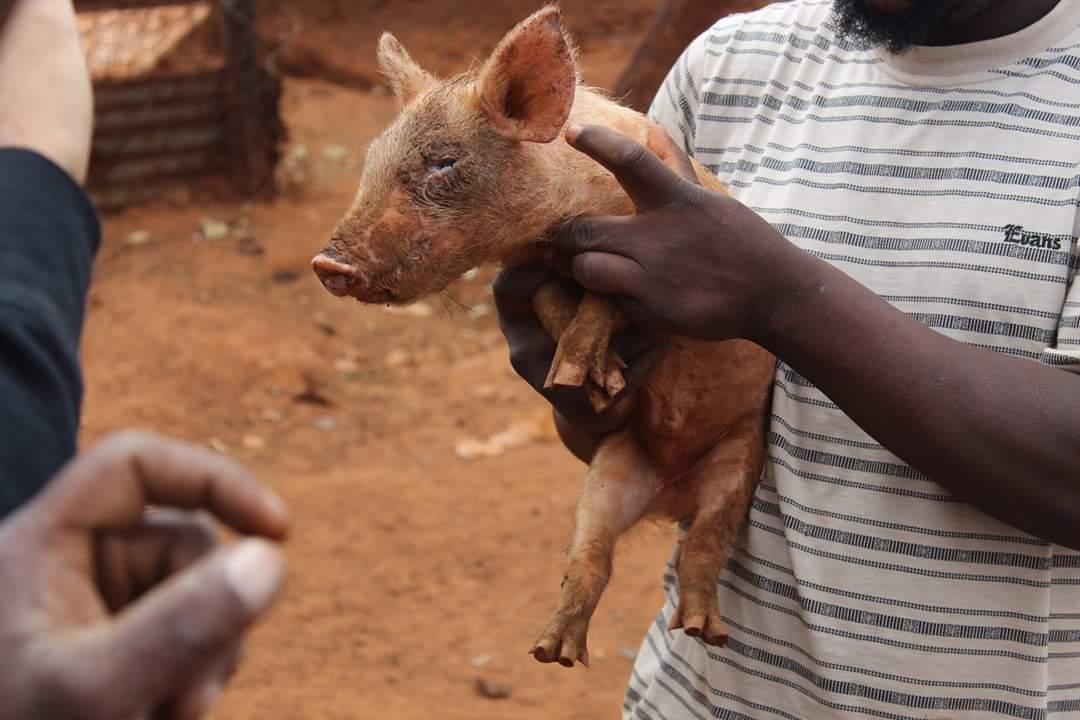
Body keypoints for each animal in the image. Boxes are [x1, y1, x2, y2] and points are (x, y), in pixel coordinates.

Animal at [311, 6, 775, 668]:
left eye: (444, 161)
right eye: (370, 156)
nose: (327, 264)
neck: (553, 223)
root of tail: (671, 495)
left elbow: (604, 293)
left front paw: (584, 373)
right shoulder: (529, 271)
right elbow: (554, 302)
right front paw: (587, 381)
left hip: (739, 459)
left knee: (706, 545)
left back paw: (703, 631)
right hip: (607, 477)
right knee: (591, 559)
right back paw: (550, 651)